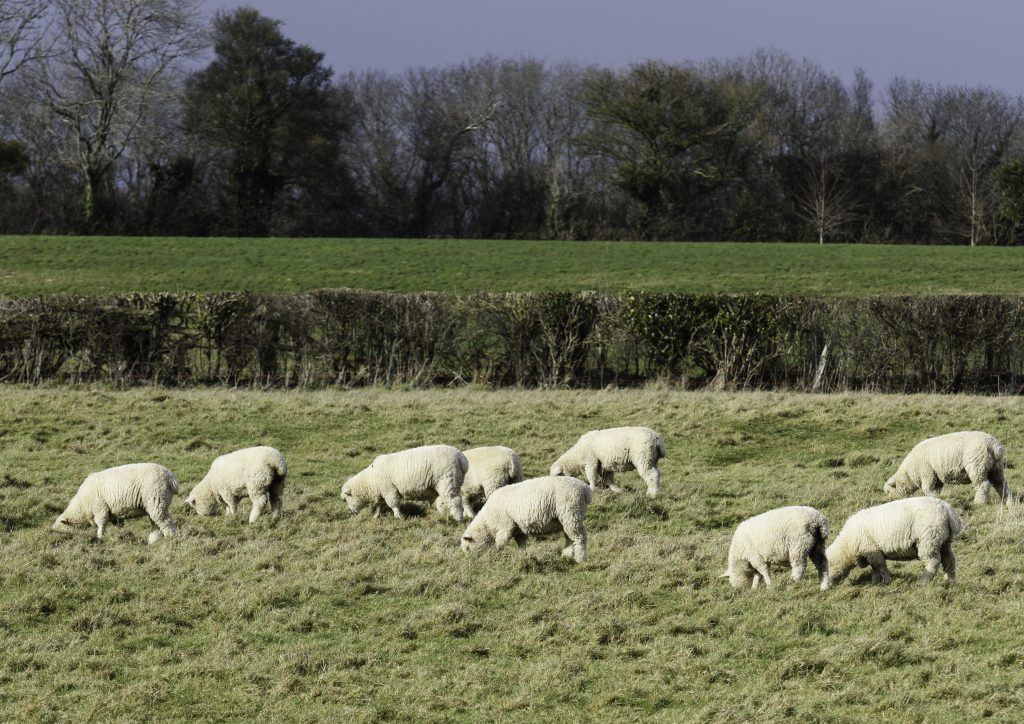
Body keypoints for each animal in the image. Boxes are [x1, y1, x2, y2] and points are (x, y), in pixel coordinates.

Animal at [460, 475, 592, 562]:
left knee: (579, 537)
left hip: (571, 513)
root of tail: (585, 489)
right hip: (566, 518)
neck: (487, 522)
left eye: (468, 548)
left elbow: (500, 543)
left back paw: (580, 558)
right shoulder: (517, 529)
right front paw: (525, 556)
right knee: (569, 537)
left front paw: (498, 554)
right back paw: (566, 555)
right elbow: (522, 544)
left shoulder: (505, 526)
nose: (470, 561)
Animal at [826, 496, 963, 585]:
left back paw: (923, 582)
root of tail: (948, 510)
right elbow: (875, 569)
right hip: (944, 541)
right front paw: (875, 582)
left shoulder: (872, 549)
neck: (847, 545)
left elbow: (880, 566)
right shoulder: (871, 552)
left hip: (929, 539)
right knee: (949, 559)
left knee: (933, 561)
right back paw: (950, 580)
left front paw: (887, 580)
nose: (825, 589)